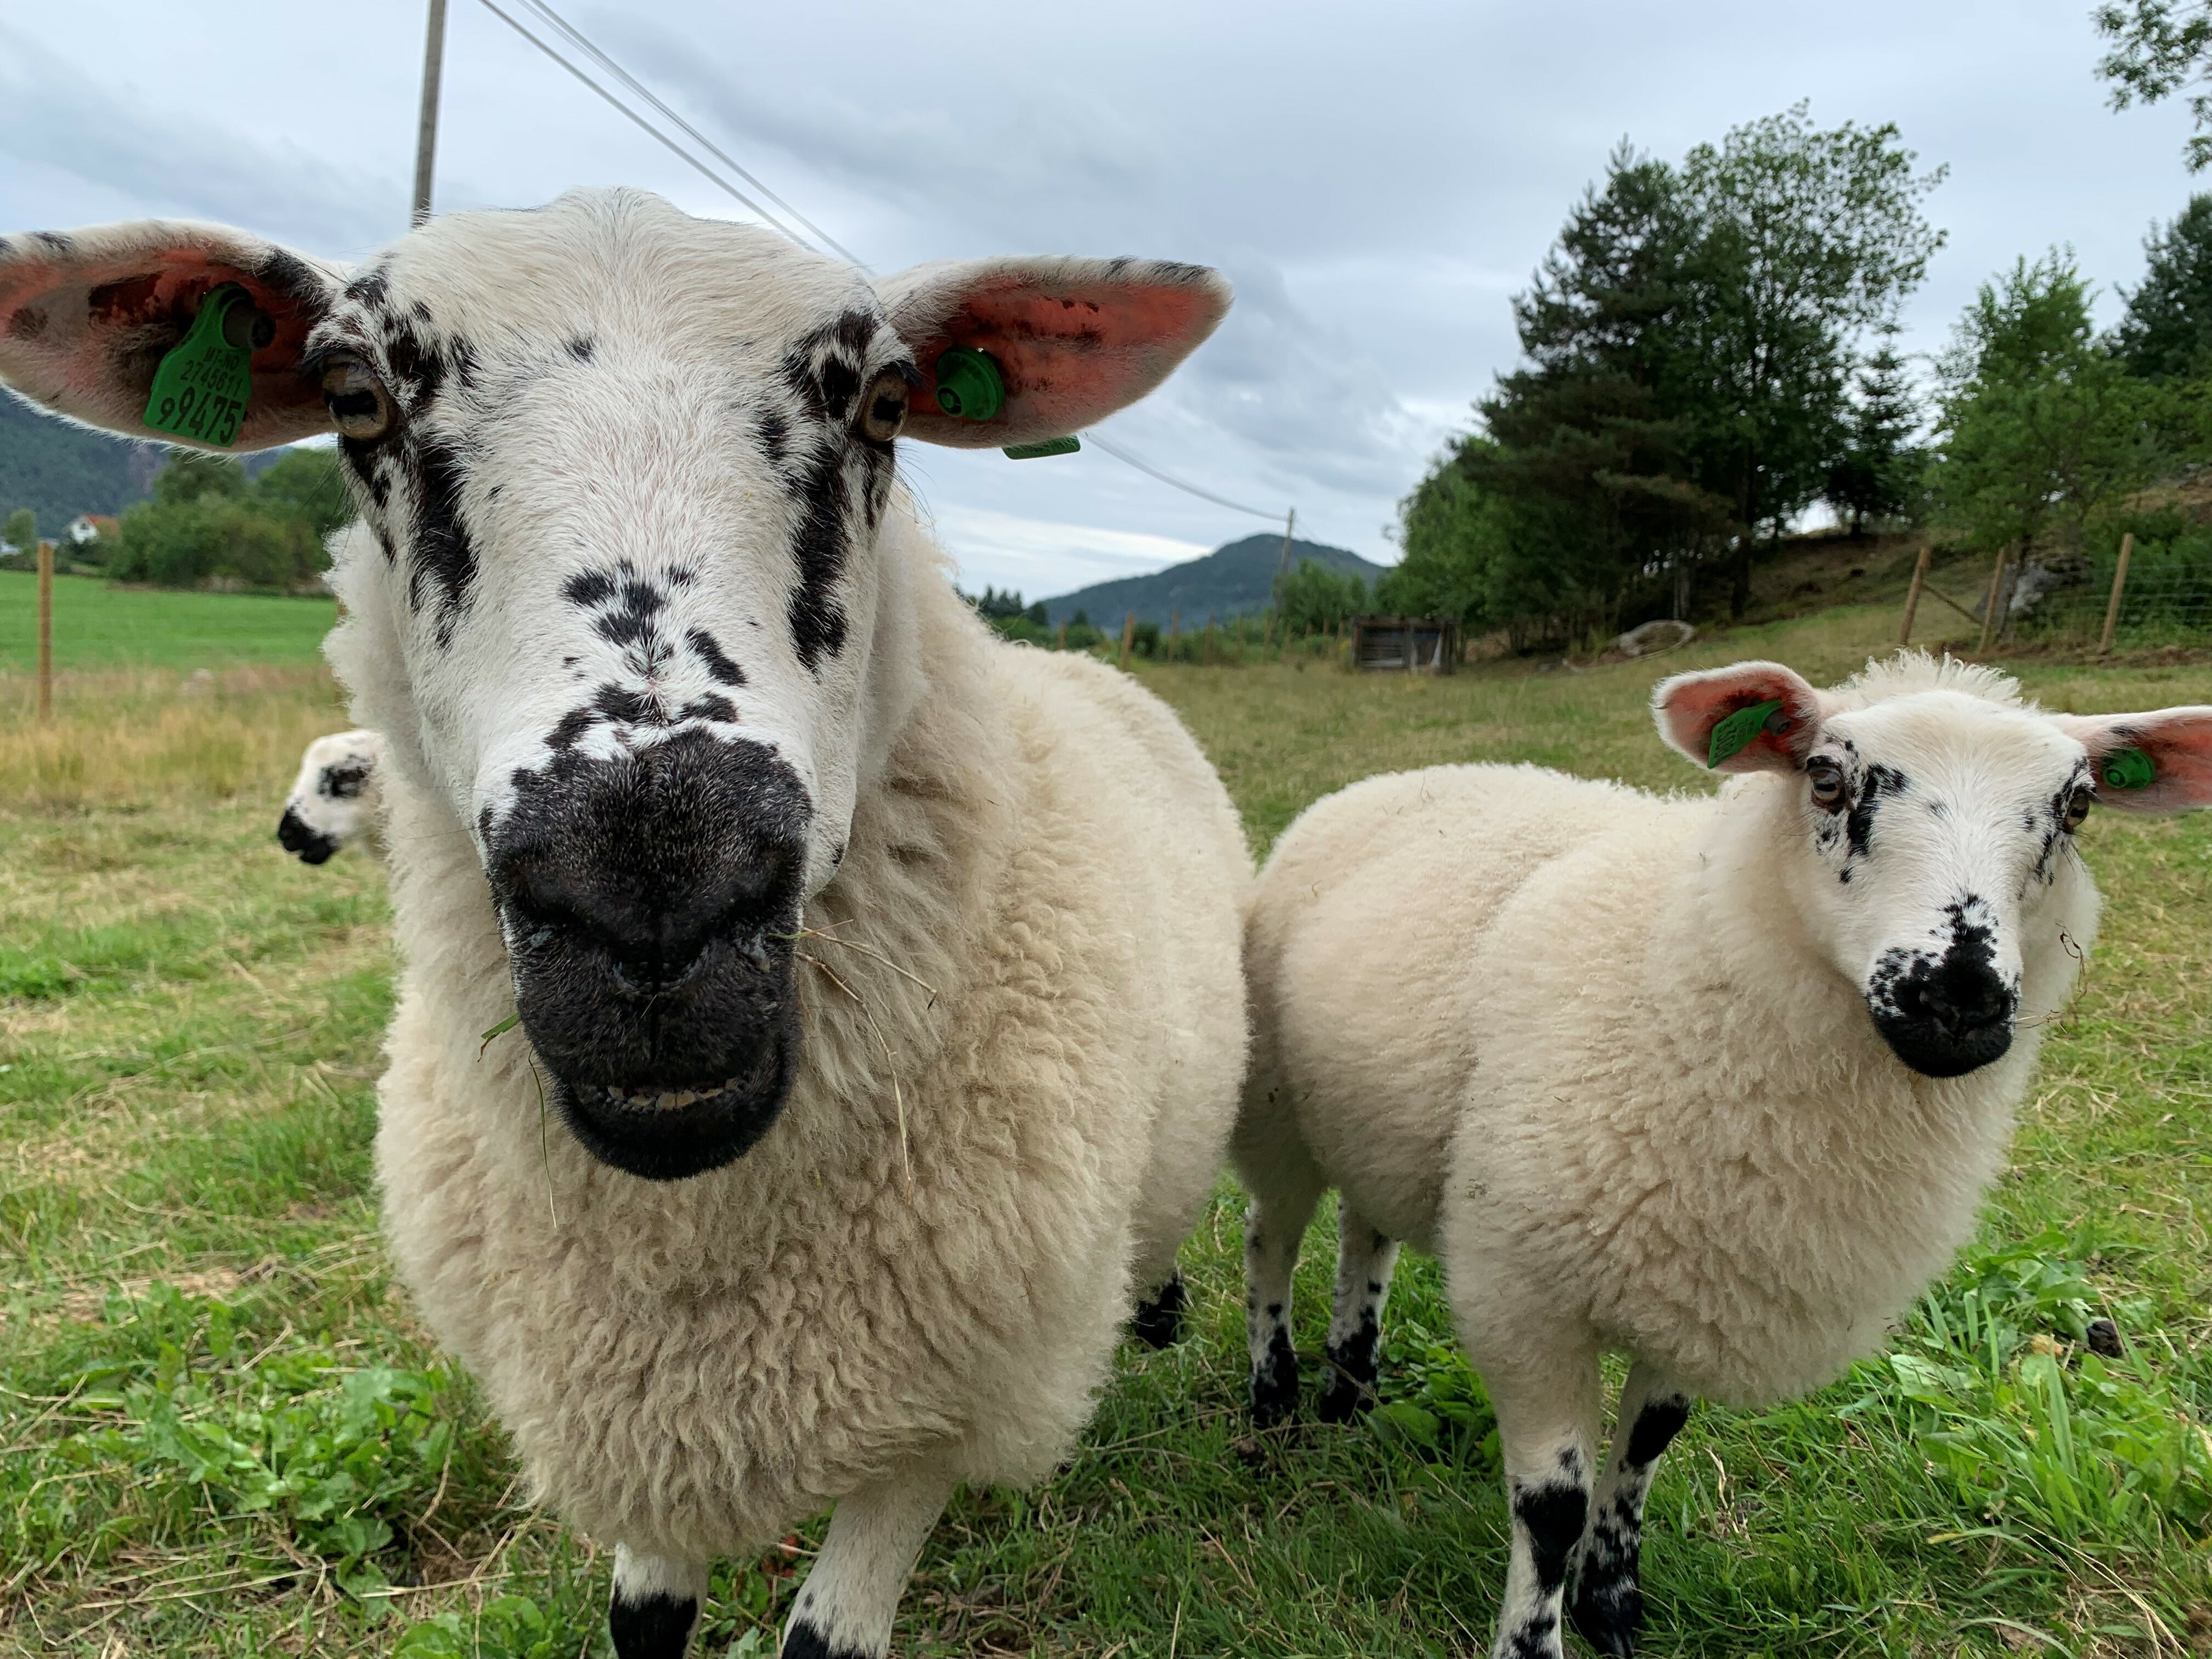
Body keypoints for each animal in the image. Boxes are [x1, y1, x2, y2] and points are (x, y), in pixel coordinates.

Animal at [1238, 654, 2212, 1659]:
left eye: (2078, 806)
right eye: (1824, 777)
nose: (1958, 997)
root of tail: (1393, 777)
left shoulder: (1715, 1273)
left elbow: (1645, 1449)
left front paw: (1612, 1603)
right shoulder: (1523, 1294)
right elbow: (1551, 1509)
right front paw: (1533, 1639)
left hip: (1373, 1126)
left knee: (1366, 1234)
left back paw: (1351, 1384)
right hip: (1275, 1107)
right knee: (1271, 1240)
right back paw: (1274, 1398)